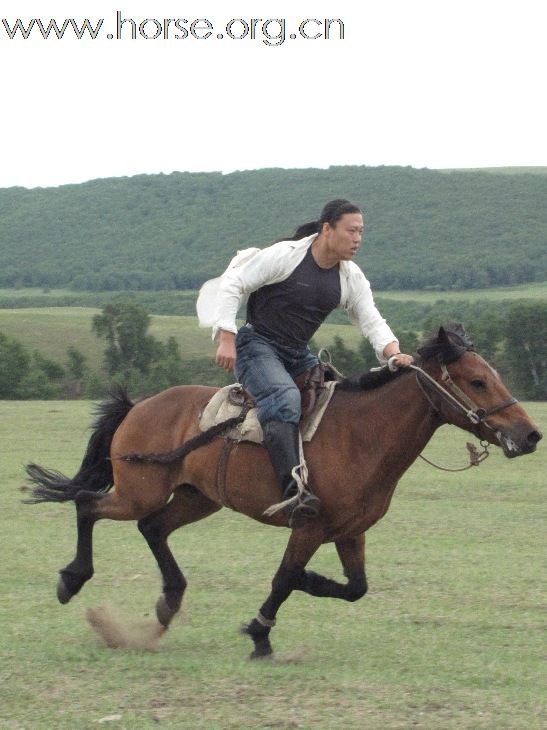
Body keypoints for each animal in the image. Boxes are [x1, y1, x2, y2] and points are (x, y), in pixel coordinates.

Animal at [24, 324, 540, 656]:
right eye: (478, 380)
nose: (531, 435)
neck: (361, 434)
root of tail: (138, 406)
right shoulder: (308, 526)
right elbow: (284, 578)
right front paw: (260, 633)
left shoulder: (350, 532)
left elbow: (354, 588)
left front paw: (307, 586)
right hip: (138, 492)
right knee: (88, 504)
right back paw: (72, 580)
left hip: (196, 498)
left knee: (152, 528)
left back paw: (169, 601)